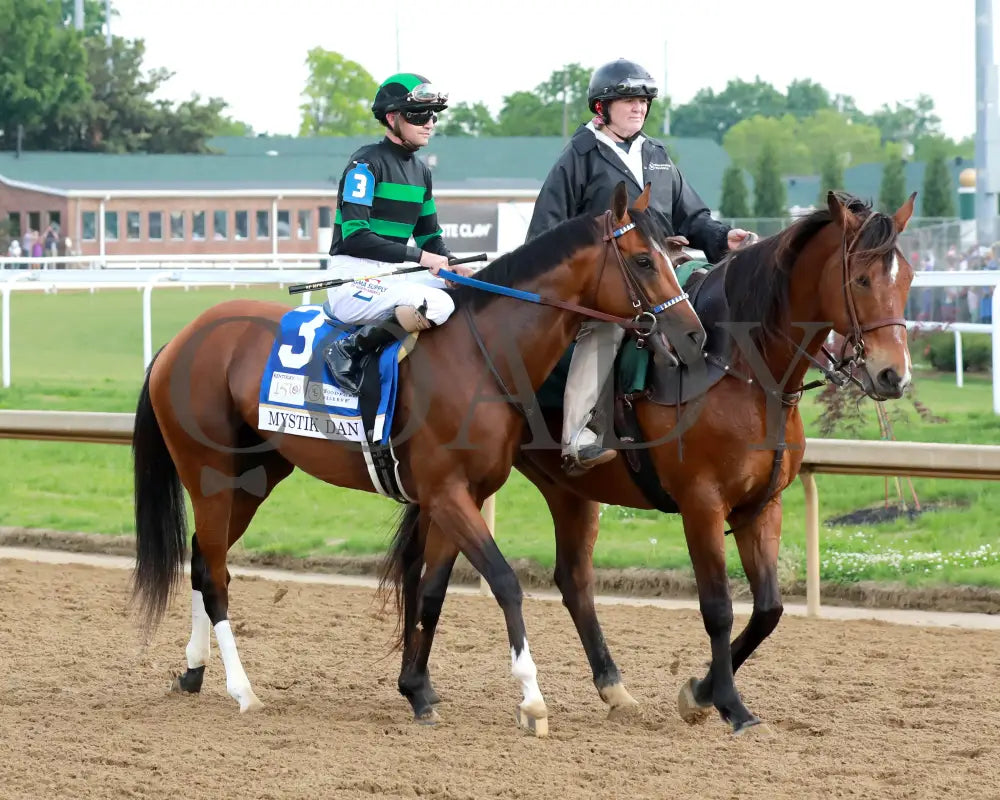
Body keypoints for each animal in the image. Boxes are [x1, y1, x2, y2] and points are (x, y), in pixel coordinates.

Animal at [133, 184, 708, 736]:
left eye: (670, 250)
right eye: (643, 260)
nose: (693, 334)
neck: (481, 356)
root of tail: (178, 341)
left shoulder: (459, 495)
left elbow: (432, 591)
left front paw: (418, 691)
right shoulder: (447, 493)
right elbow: (504, 582)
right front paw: (531, 698)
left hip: (253, 479)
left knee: (202, 560)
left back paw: (193, 672)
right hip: (209, 474)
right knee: (216, 575)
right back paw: (242, 689)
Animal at [384, 191, 920, 736]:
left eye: (908, 278)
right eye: (862, 279)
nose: (892, 374)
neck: (736, 368)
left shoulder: (762, 505)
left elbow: (768, 609)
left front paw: (702, 690)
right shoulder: (702, 503)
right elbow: (718, 607)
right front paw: (726, 702)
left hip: (561, 490)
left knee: (569, 581)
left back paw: (608, 688)